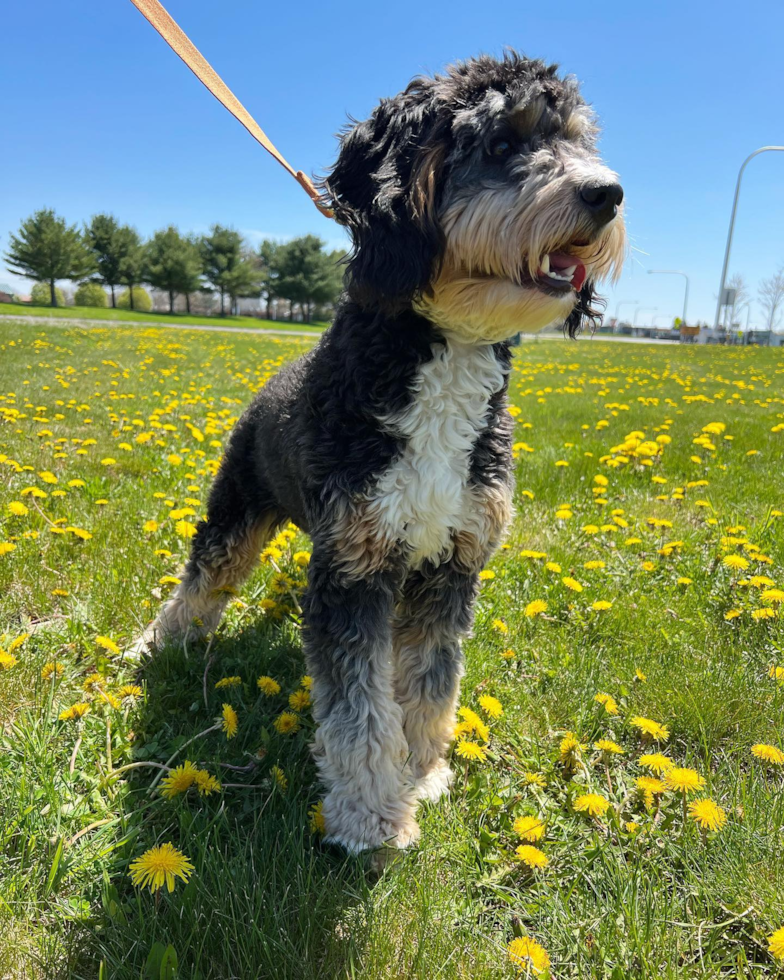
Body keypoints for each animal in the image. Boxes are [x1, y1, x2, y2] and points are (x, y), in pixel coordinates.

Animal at [135, 51, 624, 848]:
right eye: (501, 143)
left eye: (578, 140)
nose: (608, 193)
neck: (447, 353)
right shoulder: (354, 568)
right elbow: (358, 709)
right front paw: (369, 815)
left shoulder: (452, 561)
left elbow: (427, 684)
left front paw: (420, 773)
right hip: (240, 503)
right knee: (204, 576)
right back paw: (156, 644)